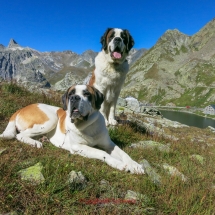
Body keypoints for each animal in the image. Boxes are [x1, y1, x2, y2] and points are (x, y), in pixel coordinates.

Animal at [0, 85, 144, 174]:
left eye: (87, 94)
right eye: (70, 94)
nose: (74, 98)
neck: (88, 125)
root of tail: (21, 108)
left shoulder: (109, 144)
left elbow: (123, 153)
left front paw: (135, 165)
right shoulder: (78, 146)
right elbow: (101, 153)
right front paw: (118, 163)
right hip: (52, 118)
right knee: (20, 135)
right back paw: (35, 143)